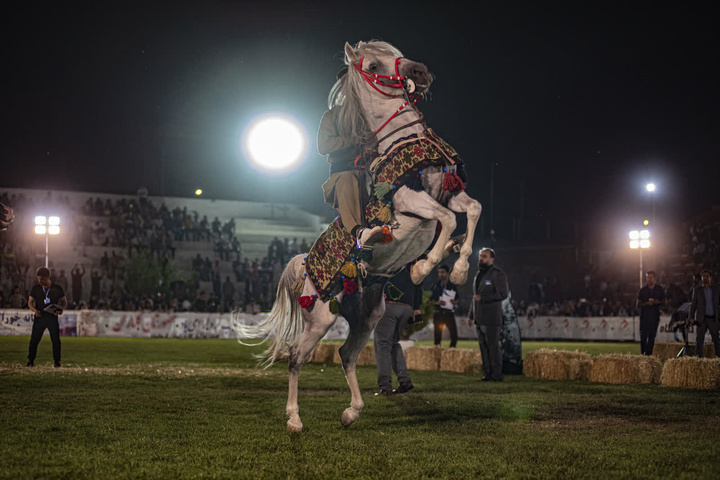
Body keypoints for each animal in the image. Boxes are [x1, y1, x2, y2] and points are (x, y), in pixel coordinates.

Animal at [236, 40, 480, 432]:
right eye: (372, 64)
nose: (420, 72)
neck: (404, 139)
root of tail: (304, 266)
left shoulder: (449, 191)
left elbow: (471, 210)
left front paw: (457, 269)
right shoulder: (409, 199)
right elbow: (445, 219)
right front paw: (421, 268)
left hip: (365, 317)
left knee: (347, 355)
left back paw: (352, 411)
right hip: (320, 318)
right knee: (295, 357)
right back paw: (294, 419)